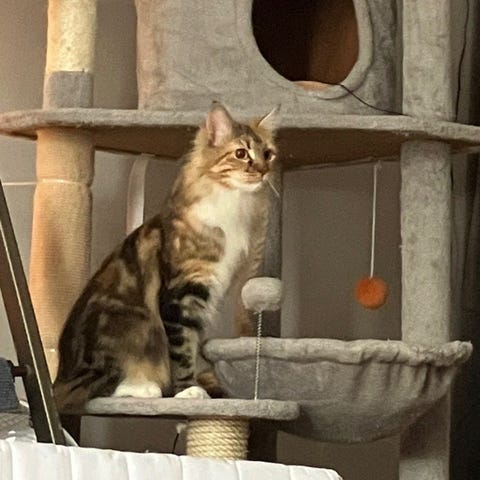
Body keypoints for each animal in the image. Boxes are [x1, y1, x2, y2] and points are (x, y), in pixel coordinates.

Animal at [53, 103, 279, 409]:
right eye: (241, 153)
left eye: (268, 154)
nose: (263, 171)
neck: (232, 202)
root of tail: (60, 375)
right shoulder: (181, 295)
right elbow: (182, 351)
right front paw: (187, 390)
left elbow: (192, 346)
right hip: (129, 324)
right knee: (96, 388)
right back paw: (146, 388)